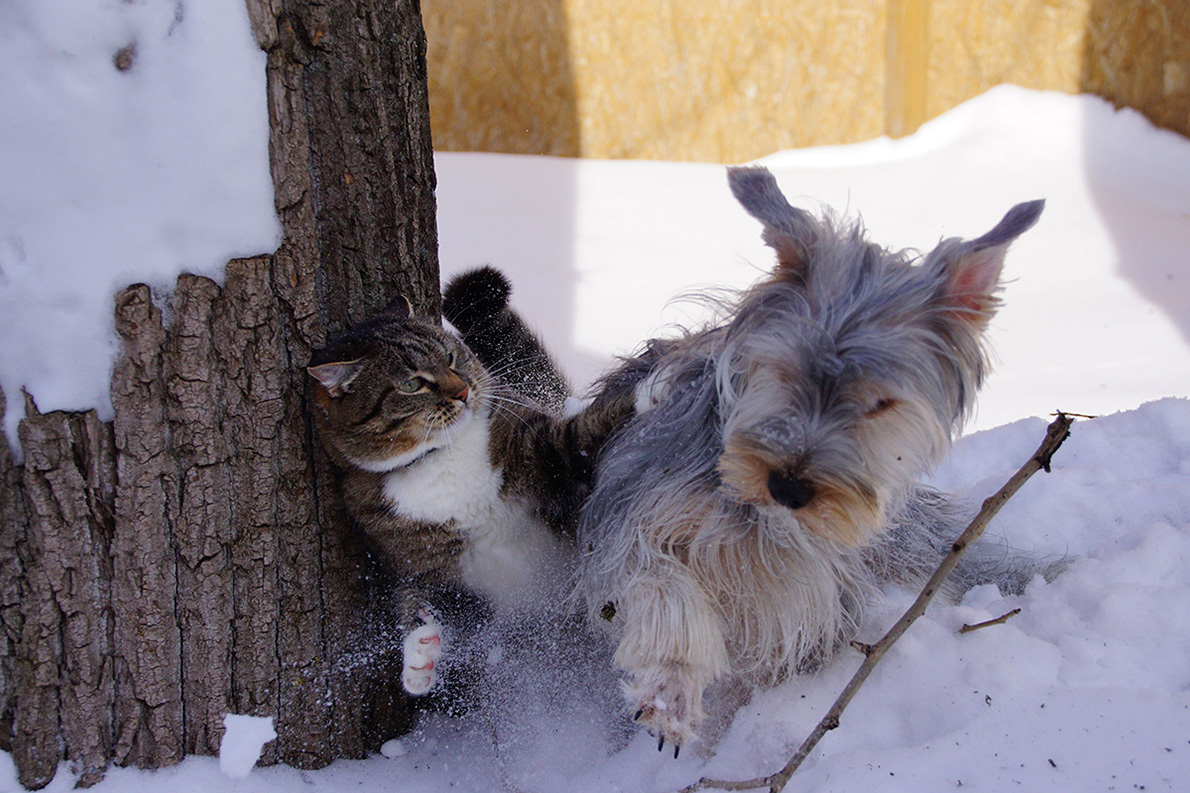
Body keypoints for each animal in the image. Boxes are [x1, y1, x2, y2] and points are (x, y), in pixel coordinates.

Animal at [311, 269, 637, 695]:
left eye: (450, 356)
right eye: (412, 384)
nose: (463, 390)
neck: (441, 457)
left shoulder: (537, 448)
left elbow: (578, 436)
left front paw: (650, 391)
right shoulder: (426, 566)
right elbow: (433, 602)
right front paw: (420, 652)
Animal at [575, 165, 1042, 747]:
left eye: (882, 403)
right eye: (783, 369)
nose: (789, 486)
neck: (761, 518)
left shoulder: (813, 589)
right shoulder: (631, 513)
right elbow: (662, 585)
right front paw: (672, 689)